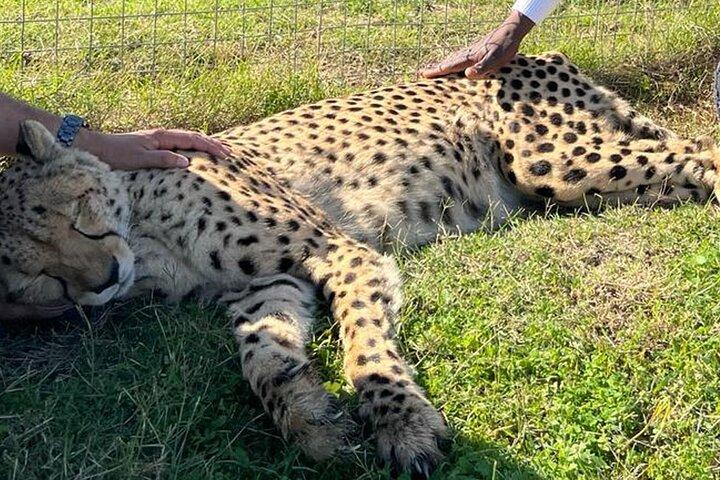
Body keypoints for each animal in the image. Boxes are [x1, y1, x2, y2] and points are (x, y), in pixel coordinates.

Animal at [2, 52, 719, 478]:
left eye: (76, 212)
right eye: (35, 276)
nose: (102, 281)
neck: (145, 235)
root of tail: (533, 54)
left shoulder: (336, 249)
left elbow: (365, 346)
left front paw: (402, 423)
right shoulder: (266, 285)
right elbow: (263, 357)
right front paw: (310, 418)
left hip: (554, 163)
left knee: (700, 157)